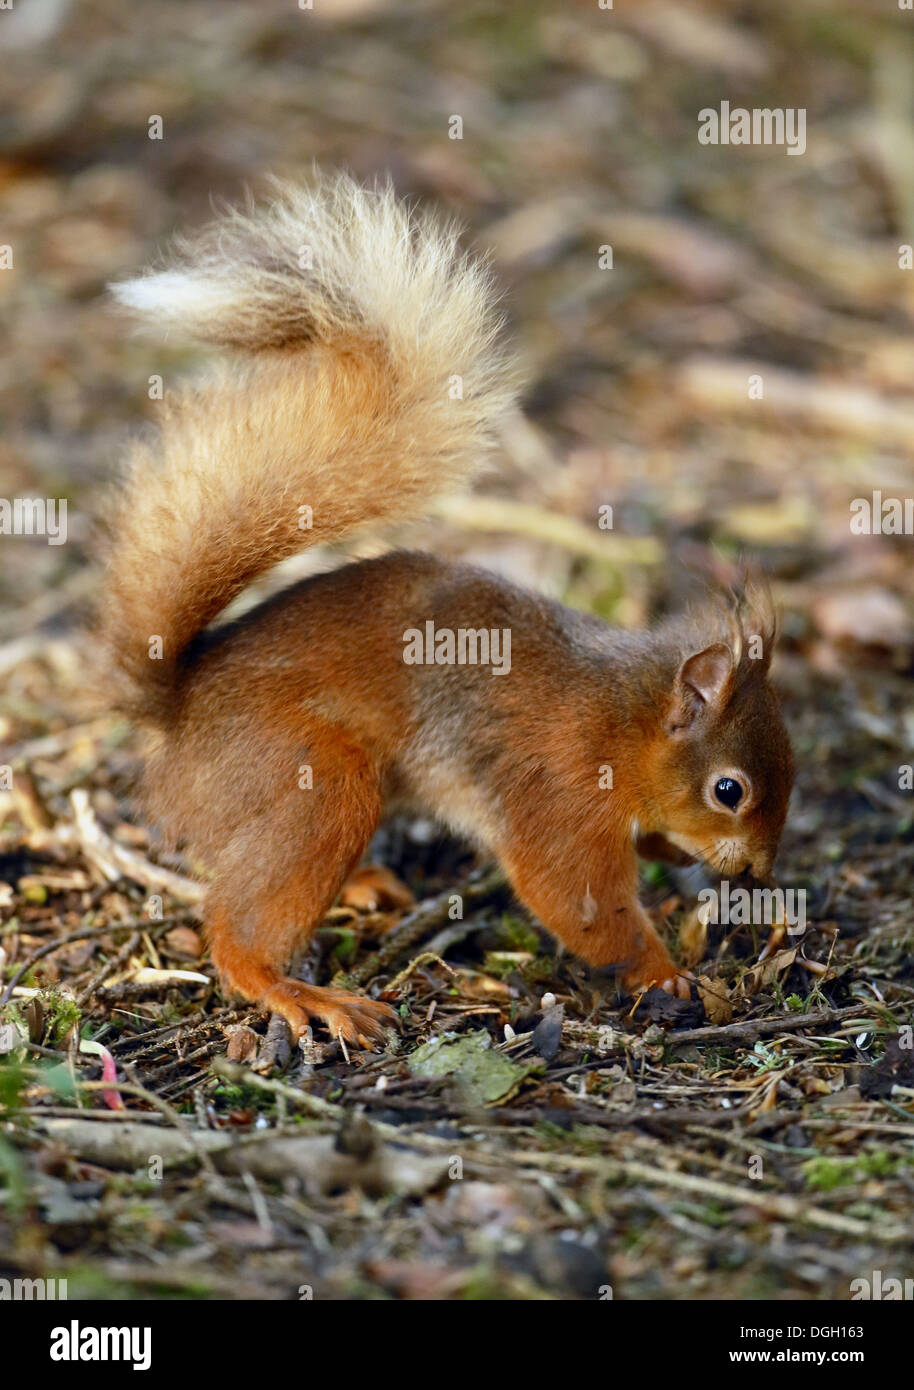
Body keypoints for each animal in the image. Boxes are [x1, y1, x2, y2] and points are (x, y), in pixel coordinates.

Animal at [100, 171, 794, 1048]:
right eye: (729, 790)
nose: (762, 872)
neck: (623, 719)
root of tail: (176, 712)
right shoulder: (560, 789)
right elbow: (577, 896)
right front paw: (665, 971)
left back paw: (365, 886)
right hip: (313, 779)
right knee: (235, 926)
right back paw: (296, 992)